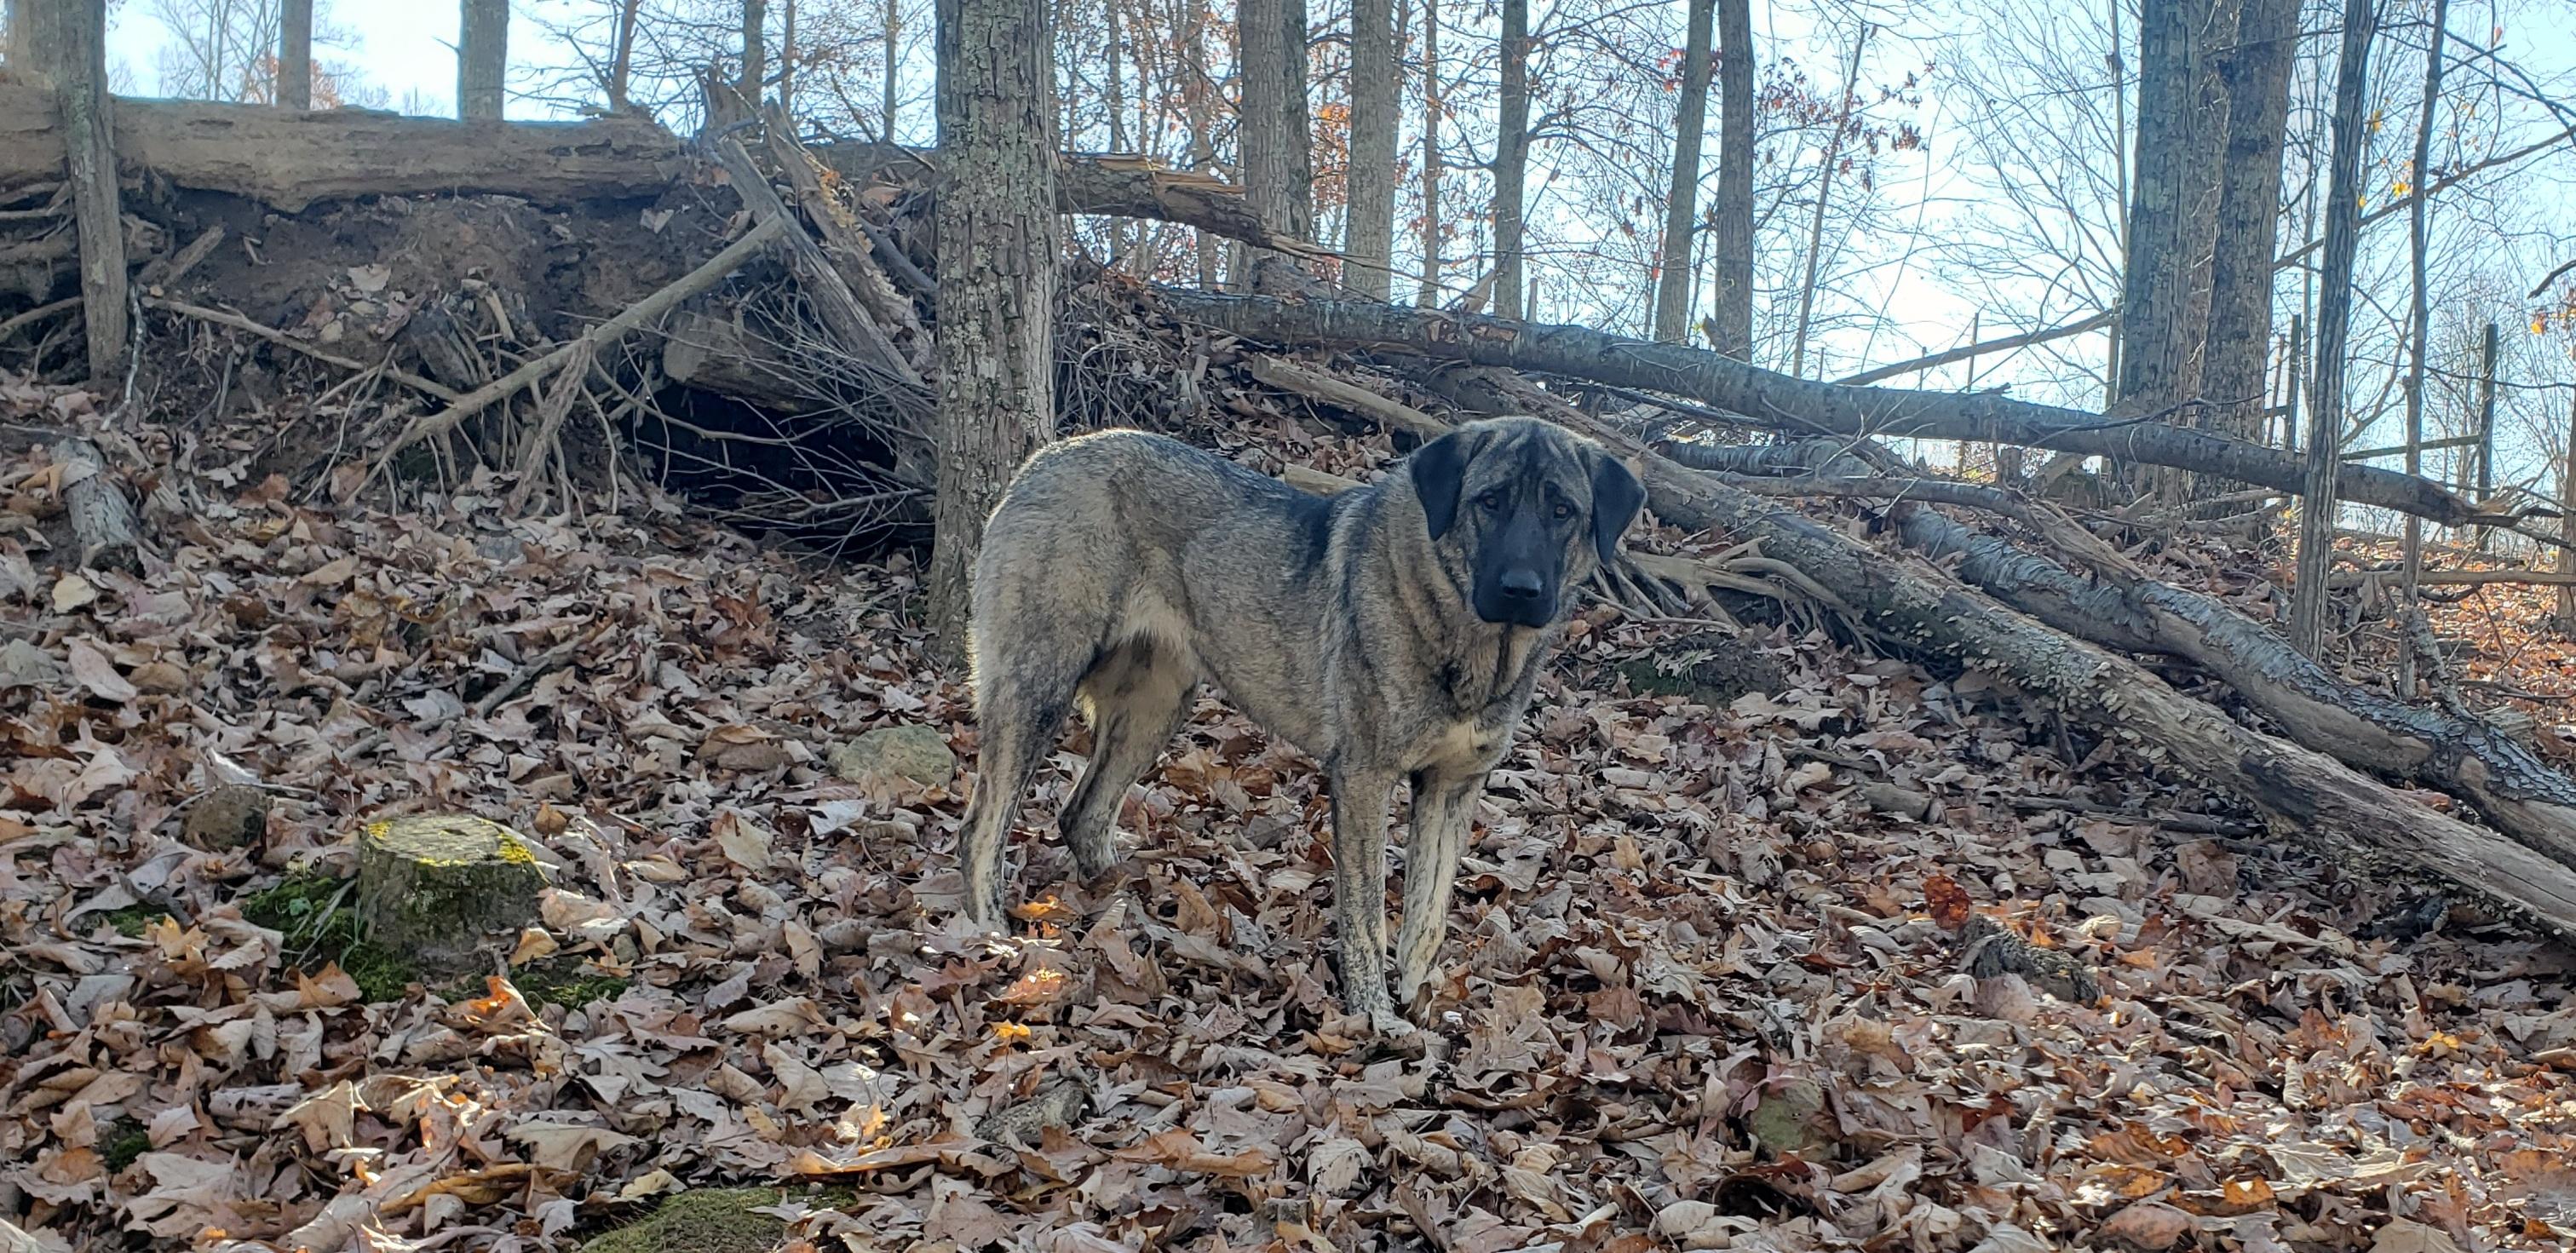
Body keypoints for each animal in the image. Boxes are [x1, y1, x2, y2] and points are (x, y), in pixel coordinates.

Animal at [955, 415, 1646, 1037]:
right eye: (1491, 501)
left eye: (1562, 510)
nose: (1520, 589)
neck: (1466, 633)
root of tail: (1045, 458)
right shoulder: (1364, 778)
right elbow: (1366, 915)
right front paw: (1376, 1015)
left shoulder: (1452, 788)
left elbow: (1428, 917)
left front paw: (1421, 1004)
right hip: (1038, 688)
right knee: (982, 827)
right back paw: (995, 937)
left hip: (1157, 707)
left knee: (1083, 813)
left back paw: (1129, 907)